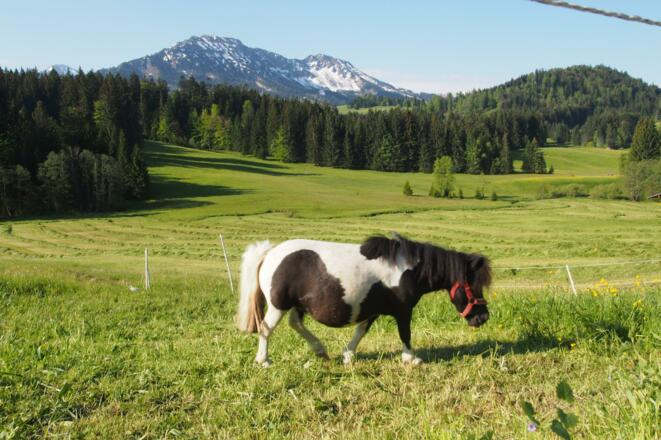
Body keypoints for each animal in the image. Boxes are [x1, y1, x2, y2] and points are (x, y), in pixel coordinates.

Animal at [236, 234, 491, 367]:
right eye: (473, 286)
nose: (482, 317)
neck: (409, 269)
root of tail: (270, 253)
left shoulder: (372, 310)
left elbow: (360, 332)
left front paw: (348, 355)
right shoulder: (403, 310)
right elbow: (405, 334)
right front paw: (411, 358)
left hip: (297, 305)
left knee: (295, 324)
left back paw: (320, 351)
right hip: (278, 306)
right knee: (266, 329)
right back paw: (263, 360)